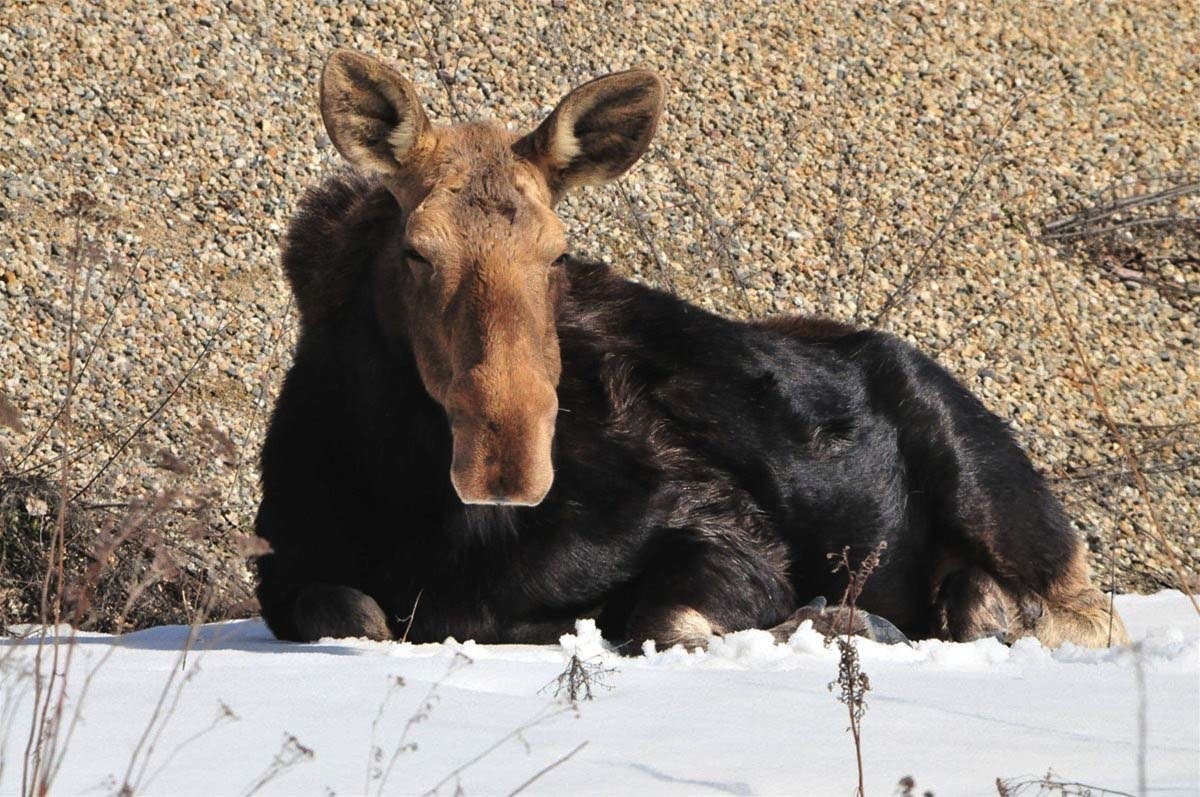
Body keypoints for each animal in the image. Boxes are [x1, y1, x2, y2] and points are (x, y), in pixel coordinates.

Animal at [253, 49, 1129, 652]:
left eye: (558, 254)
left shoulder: (728, 532)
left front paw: (824, 622)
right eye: (416, 251)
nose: (507, 461)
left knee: (1084, 611)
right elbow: (348, 609)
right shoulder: (286, 572)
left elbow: (667, 620)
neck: (415, 501)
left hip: (999, 499)